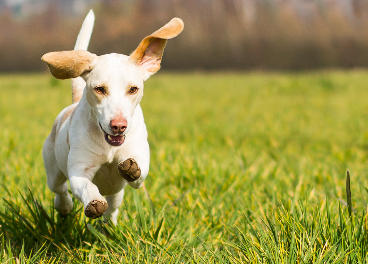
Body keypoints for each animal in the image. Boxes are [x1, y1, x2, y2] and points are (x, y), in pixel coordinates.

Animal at [41, 10, 184, 225]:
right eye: (100, 89)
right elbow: (86, 186)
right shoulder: (79, 171)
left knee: (113, 208)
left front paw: (131, 169)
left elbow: (138, 173)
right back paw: (65, 207)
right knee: (60, 190)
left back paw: (108, 225)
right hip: (53, 170)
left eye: (133, 89)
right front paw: (94, 203)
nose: (118, 126)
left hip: (116, 192)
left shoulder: (138, 160)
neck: (109, 146)